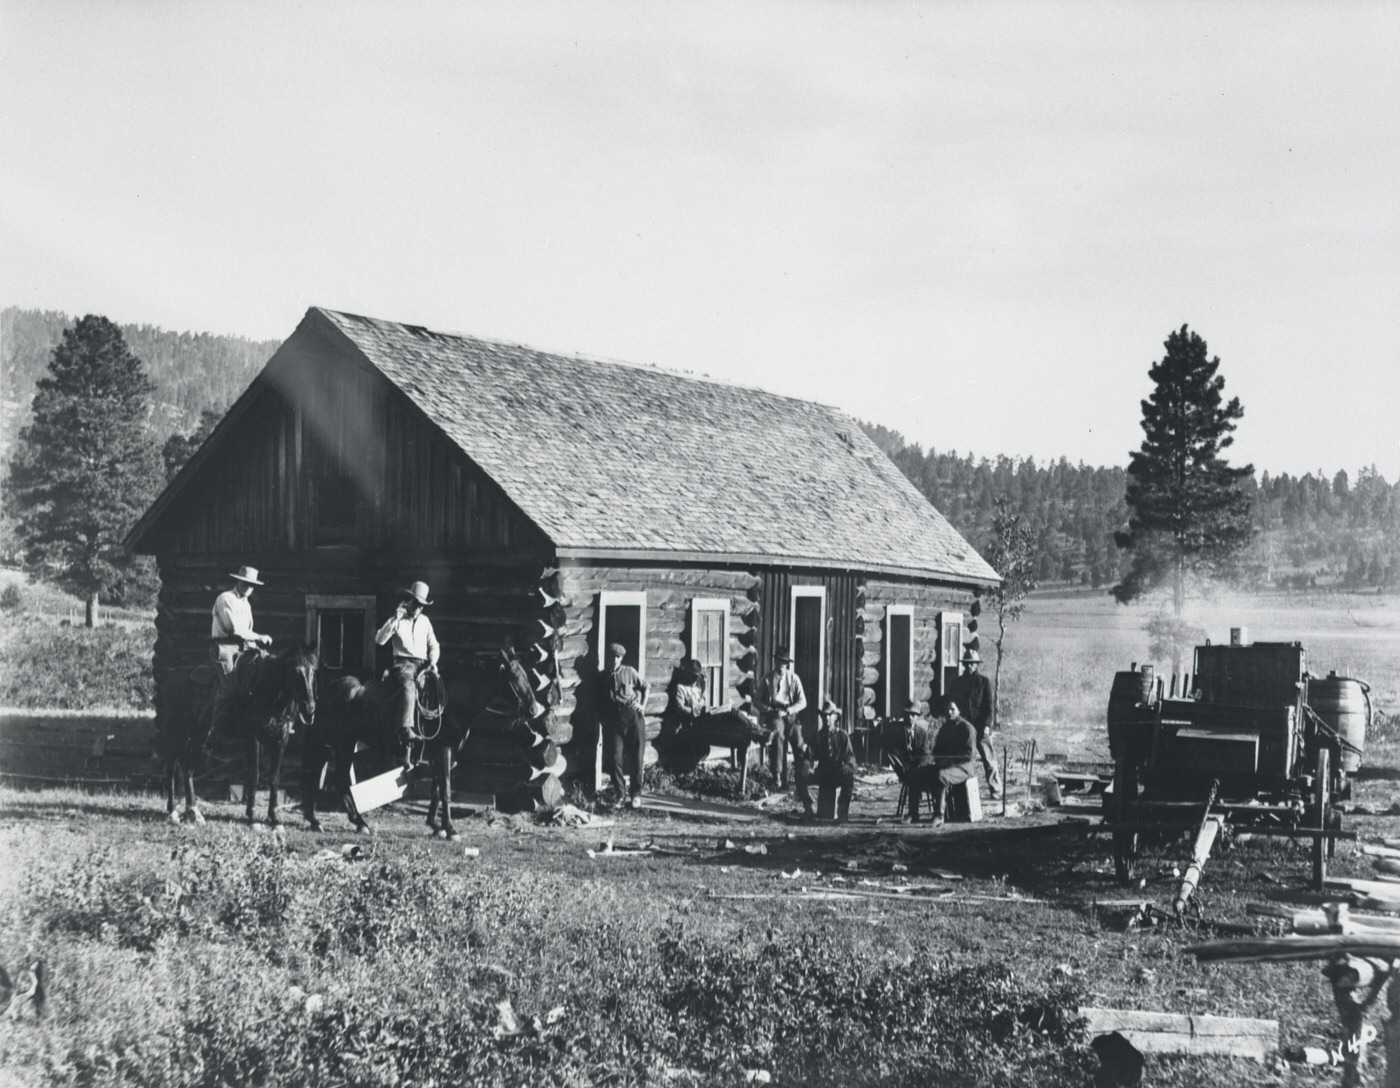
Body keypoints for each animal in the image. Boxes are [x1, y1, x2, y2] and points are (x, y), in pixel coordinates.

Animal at [160, 635, 319, 823]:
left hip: (196, 733)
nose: (309, 708)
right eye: (295, 671)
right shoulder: (254, 738)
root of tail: (170, 675)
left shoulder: (281, 739)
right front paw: (252, 815)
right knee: (172, 765)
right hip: (177, 731)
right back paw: (174, 810)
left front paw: (273, 816)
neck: (267, 690)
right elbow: (254, 775)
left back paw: (192, 811)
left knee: (186, 766)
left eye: (314, 670)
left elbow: (274, 778)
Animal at [303, 644, 543, 840]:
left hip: (341, 744)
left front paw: (435, 826)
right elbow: (446, 789)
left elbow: (436, 789)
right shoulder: (445, 750)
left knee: (330, 776)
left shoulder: (440, 753)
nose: (533, 709)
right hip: (339, 743)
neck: (453, 702)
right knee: (327, 776)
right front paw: (451, 830)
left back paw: (339, 822)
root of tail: (327, 690)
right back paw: (341, 822)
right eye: (514, 675)